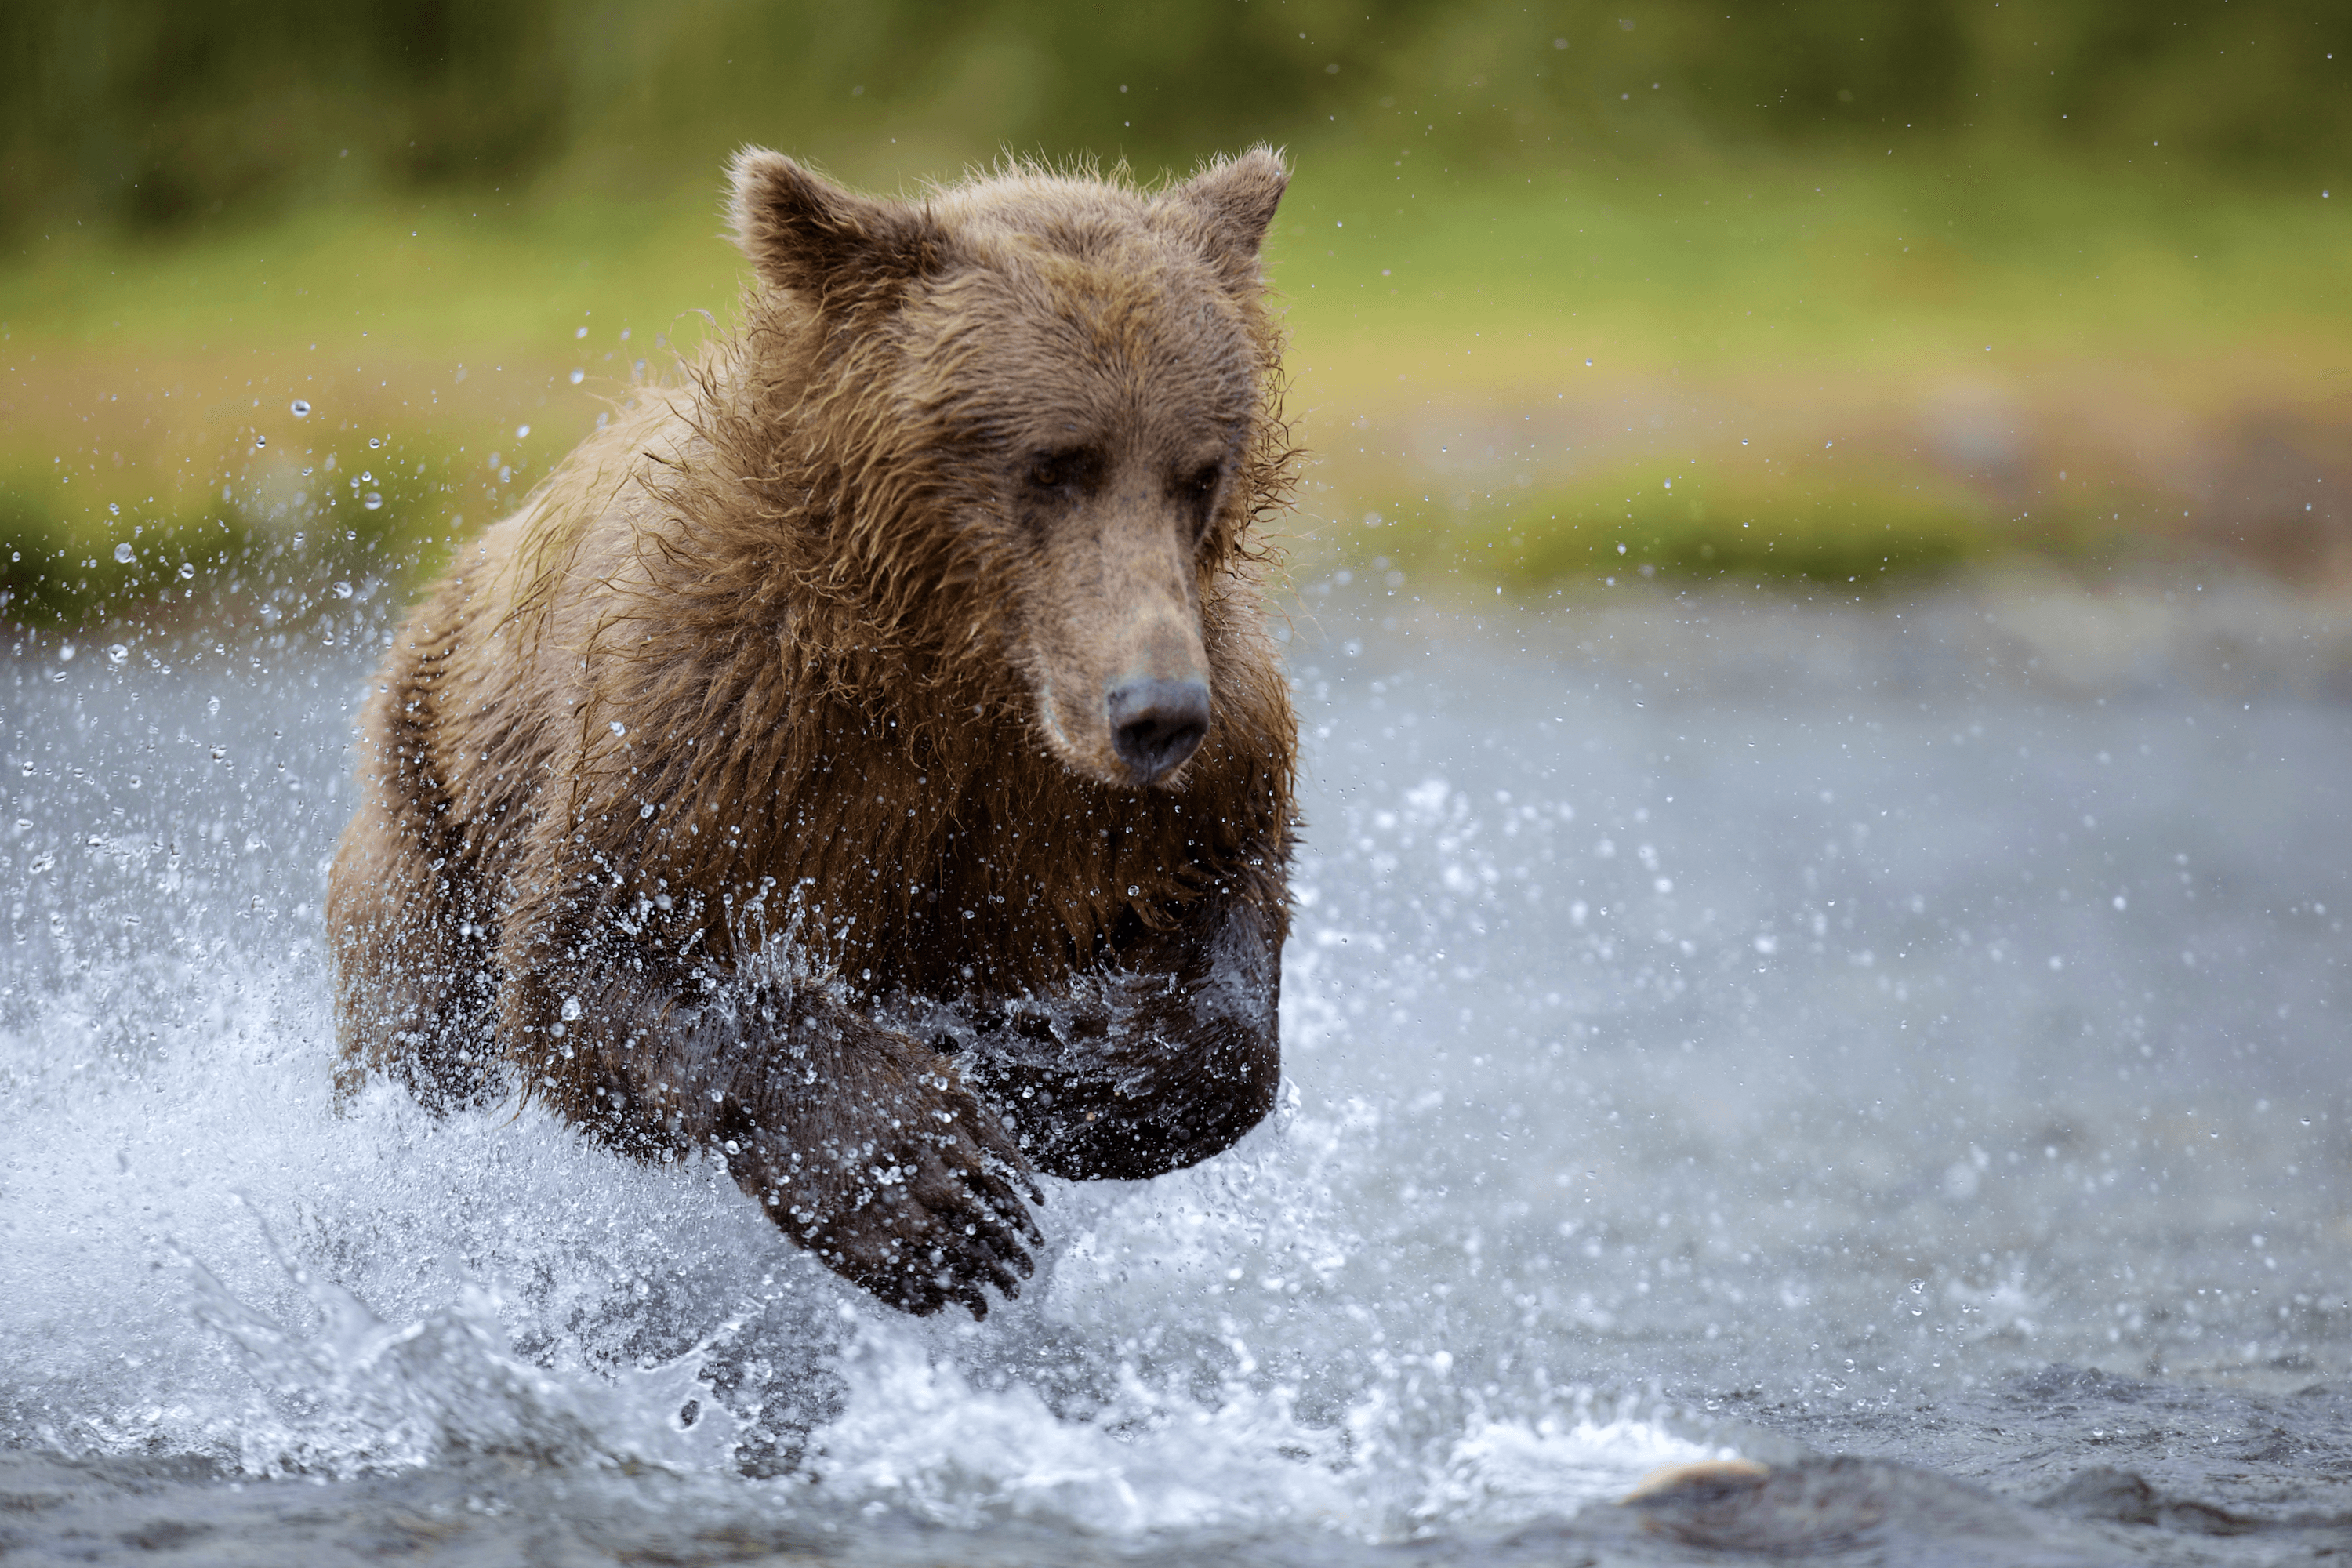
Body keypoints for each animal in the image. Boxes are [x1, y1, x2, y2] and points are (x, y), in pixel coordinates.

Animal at [325, 147, 1300, 1320]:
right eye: (1053, 462)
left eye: (1198, 469)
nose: (1153, 711)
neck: (957, 669)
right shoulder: (719, 718)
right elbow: (590, 965)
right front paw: (927, 1182)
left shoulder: (1159, 772)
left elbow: (1227, 918)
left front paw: (1062, 1062)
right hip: (433, 814)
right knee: (419, 1038)